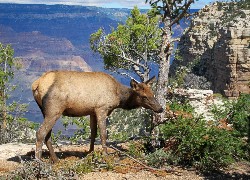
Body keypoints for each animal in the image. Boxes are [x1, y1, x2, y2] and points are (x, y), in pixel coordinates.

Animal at [31, 70, 164, 163]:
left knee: (47, 134)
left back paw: (55, 159)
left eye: (152, 94)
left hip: (44, 110)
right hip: (54, 109)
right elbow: (103, 133)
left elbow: (93, 133)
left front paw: (90, 153)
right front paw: (105, 155)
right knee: (41, 132)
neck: (118, 97)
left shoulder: (92, 111)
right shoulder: (102, 108)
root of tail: (36, 85)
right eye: (144, 96)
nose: (160, 108)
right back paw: (39, 161)